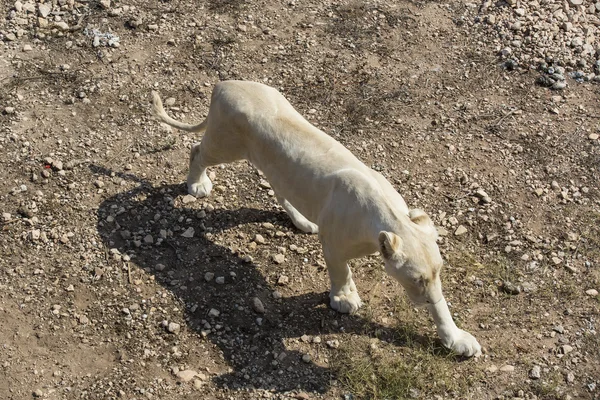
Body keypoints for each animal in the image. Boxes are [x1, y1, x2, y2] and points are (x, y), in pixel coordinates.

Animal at [151, 80, 482, 356]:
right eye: (415, 280)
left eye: (438, 272)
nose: (427, 300)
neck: (386, 215)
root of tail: (223, 84)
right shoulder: (333, 244)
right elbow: (341, 272)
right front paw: (344, 300)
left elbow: (444, 311)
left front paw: (456, 339)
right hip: (224, 143)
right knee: (197, 151)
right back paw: (197, 184)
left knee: (279, 188)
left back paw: (303, 222)